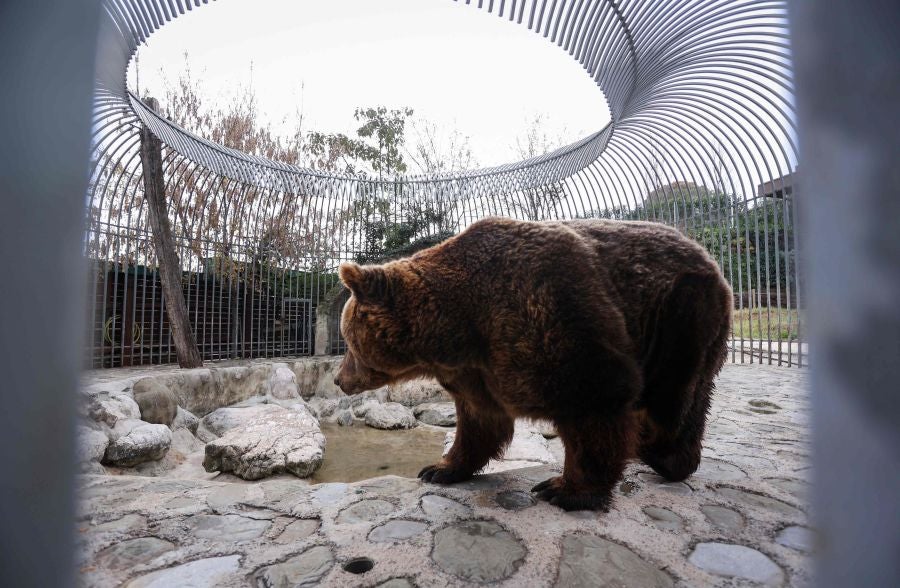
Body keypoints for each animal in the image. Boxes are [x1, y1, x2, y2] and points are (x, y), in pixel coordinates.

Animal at [334, 217, 732, 511]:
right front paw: (440, 467)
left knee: (673, 400)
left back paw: (659, 452)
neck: (457, 331)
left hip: (677, 315)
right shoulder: (477, 373)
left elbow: (597, 396)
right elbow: (480, 423)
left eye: (348, 342)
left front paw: (564, 488)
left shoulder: (551, 314)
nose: (339, 379)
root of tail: (712, 262)